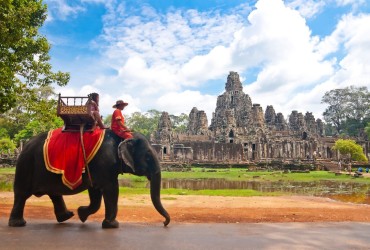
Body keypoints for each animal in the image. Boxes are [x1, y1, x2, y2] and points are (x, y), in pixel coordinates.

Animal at [7, 130, 171, 228]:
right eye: (148, 156)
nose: (164, 223)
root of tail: (26, 144)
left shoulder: (97, 169)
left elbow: (95, 193)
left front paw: (82, 214)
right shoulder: (104, 164)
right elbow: (111, 189)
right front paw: (112, 225)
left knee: (54, 193)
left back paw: (66, 217)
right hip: (26, 164)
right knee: (21, 194)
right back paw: (18, 223)